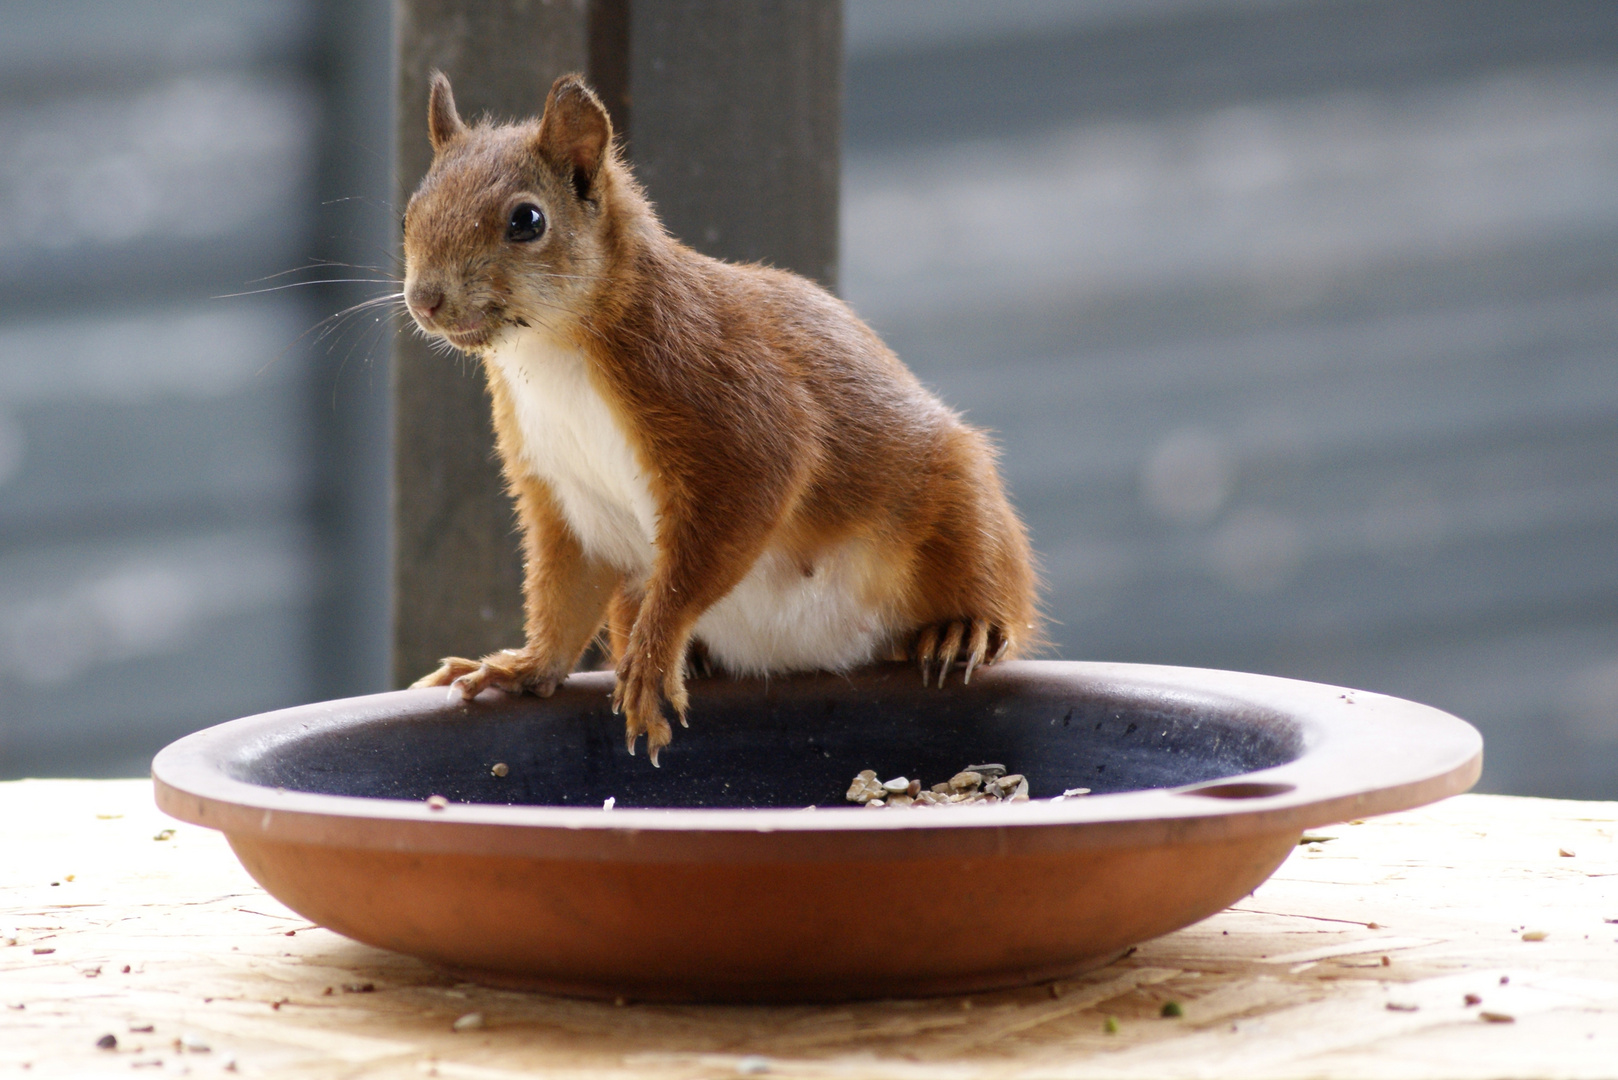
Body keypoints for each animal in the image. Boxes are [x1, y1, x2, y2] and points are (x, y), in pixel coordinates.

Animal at [402, 71, 1035, 764]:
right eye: (409, 212)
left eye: (527, 220)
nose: (424, 300)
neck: (547, 352)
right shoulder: (563, 492)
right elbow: (566, 591)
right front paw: (521, 668)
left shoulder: (721, 398)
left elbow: (724, 529)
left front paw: (654, 660)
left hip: (956, 502)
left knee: (985, 574)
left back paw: (962, 630)